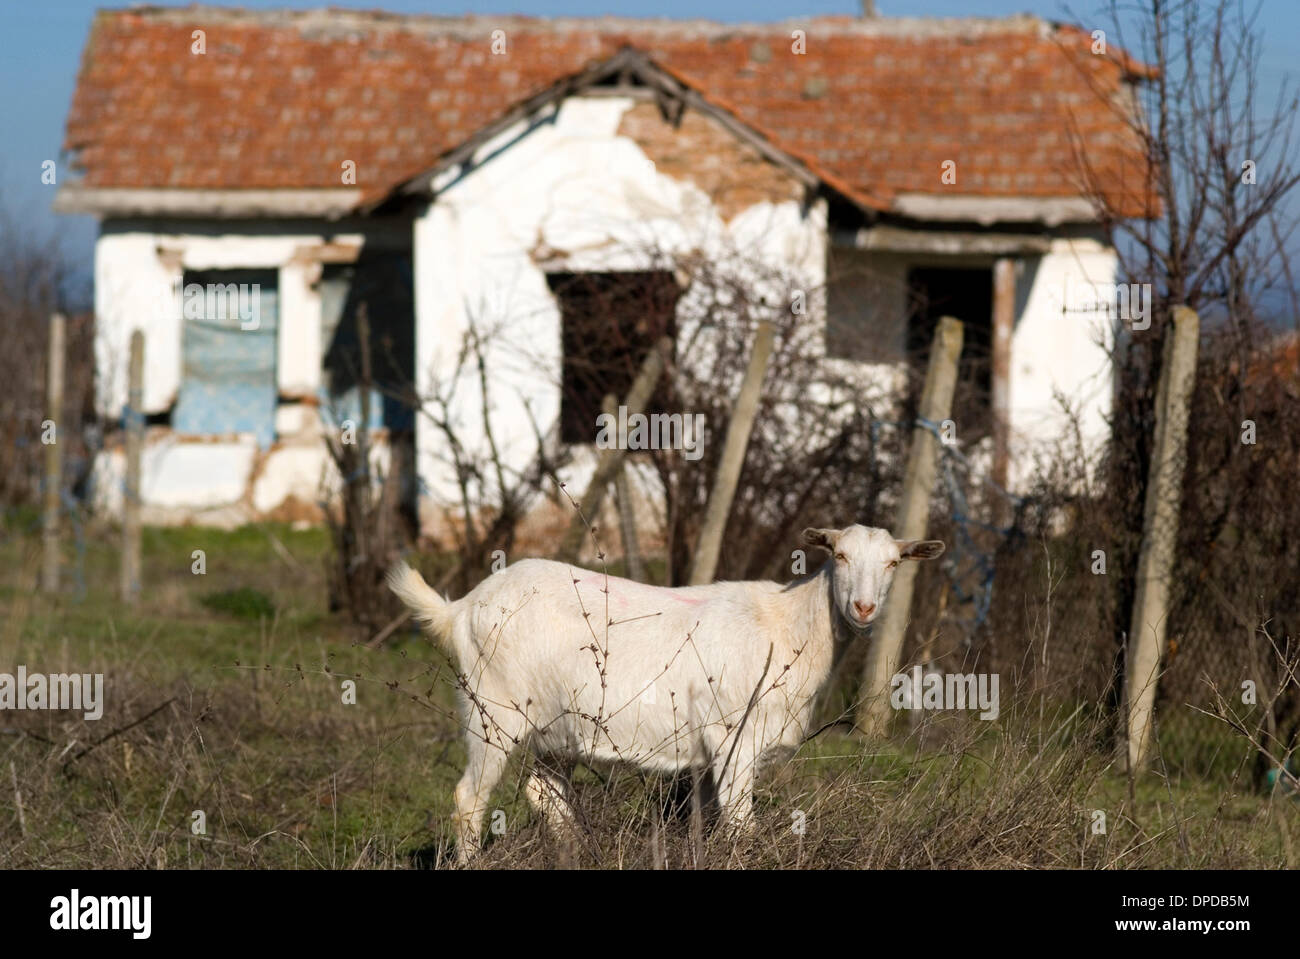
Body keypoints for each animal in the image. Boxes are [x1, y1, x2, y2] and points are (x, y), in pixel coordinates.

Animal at [384, 522, 946, 857]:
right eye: (841, 556)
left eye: (894, 563)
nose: (864, 609)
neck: (790, 626)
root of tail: (462, 607)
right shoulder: (733, 736)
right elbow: (740, 823)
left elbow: (710, 818)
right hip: (492, 711)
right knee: (469, 799)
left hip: (555, 727)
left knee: (545, 793)